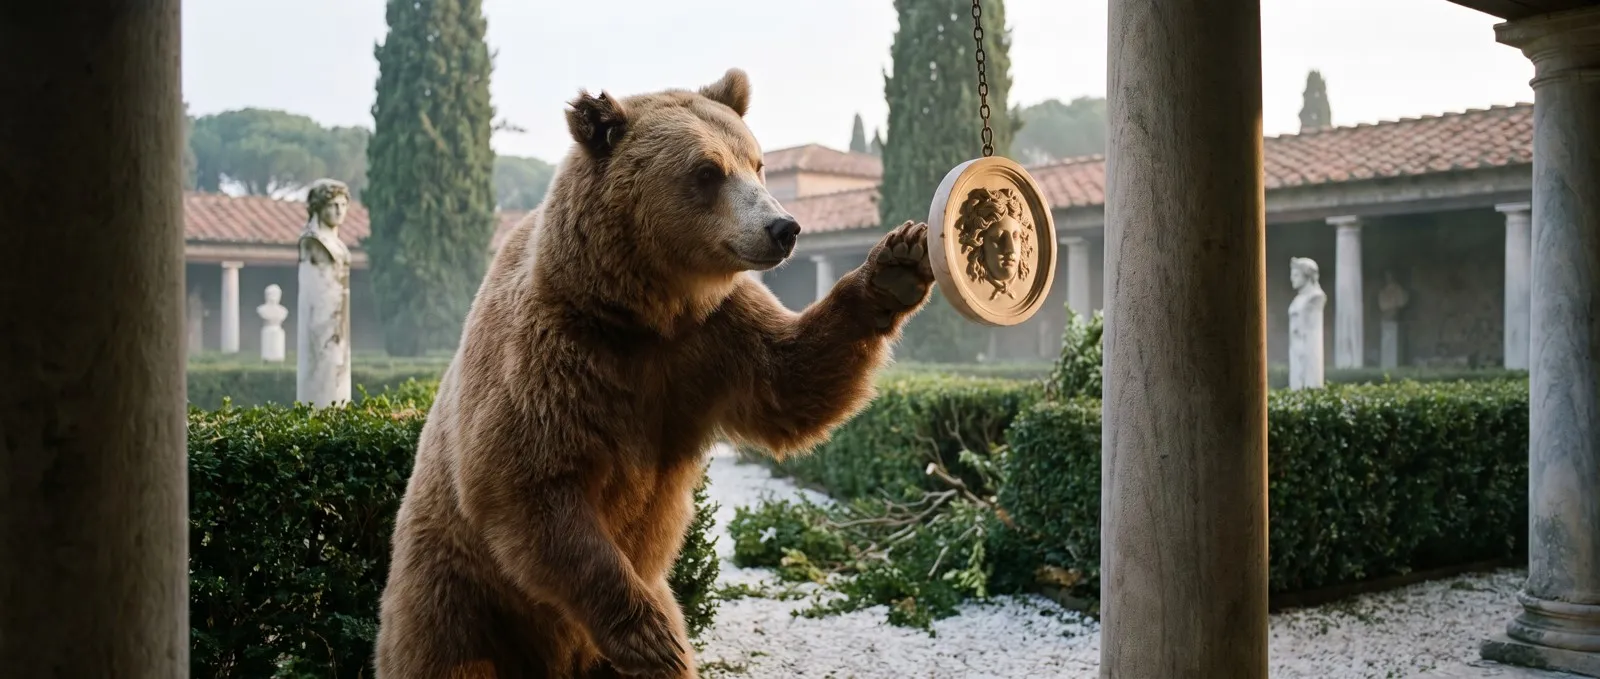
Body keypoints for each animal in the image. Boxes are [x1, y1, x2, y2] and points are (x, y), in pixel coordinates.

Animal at [374, 68, 935, 679]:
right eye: (708, 171)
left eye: (757, 162)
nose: (783, 227)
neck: (644, 313)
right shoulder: (543, 357)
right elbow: (528, 482)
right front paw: (649, 637)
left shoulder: (713, 340)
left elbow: (793, 385)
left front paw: (897, 265)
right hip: (457, 595)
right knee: (447, 648)